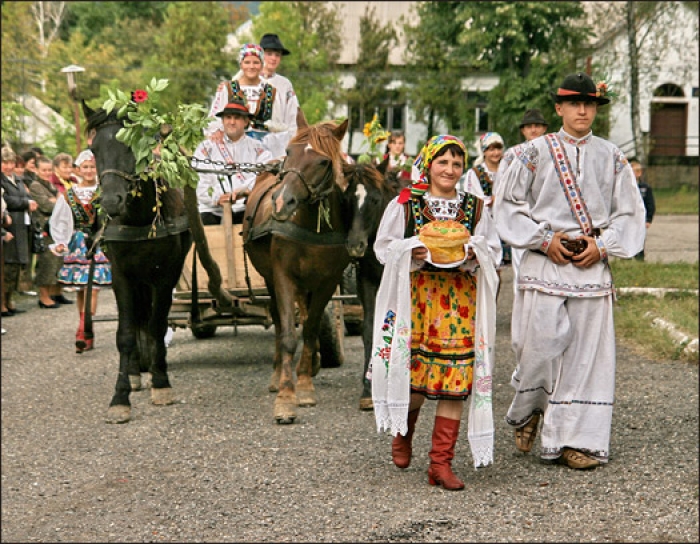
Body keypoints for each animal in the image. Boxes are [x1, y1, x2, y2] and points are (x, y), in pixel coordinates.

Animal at [85, 103, 194, 424]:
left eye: (132, 144)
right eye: (93, 148)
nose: (111, 201)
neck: (139, 218)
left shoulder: (166, 274)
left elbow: (157, 326)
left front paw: (161, 382)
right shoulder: (122, 275)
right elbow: (125, 334)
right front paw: (120, 398)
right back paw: (135, 372)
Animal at [243, 118, 374, 424]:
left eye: (324, 161)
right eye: (290, 152)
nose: (281, 202)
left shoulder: (327, 281)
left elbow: (312, 328)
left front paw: (303, 385)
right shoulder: (283, 276)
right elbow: (289, 335)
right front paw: (285, 398)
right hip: (271, 278)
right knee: (280, 321)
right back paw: (278, 374)